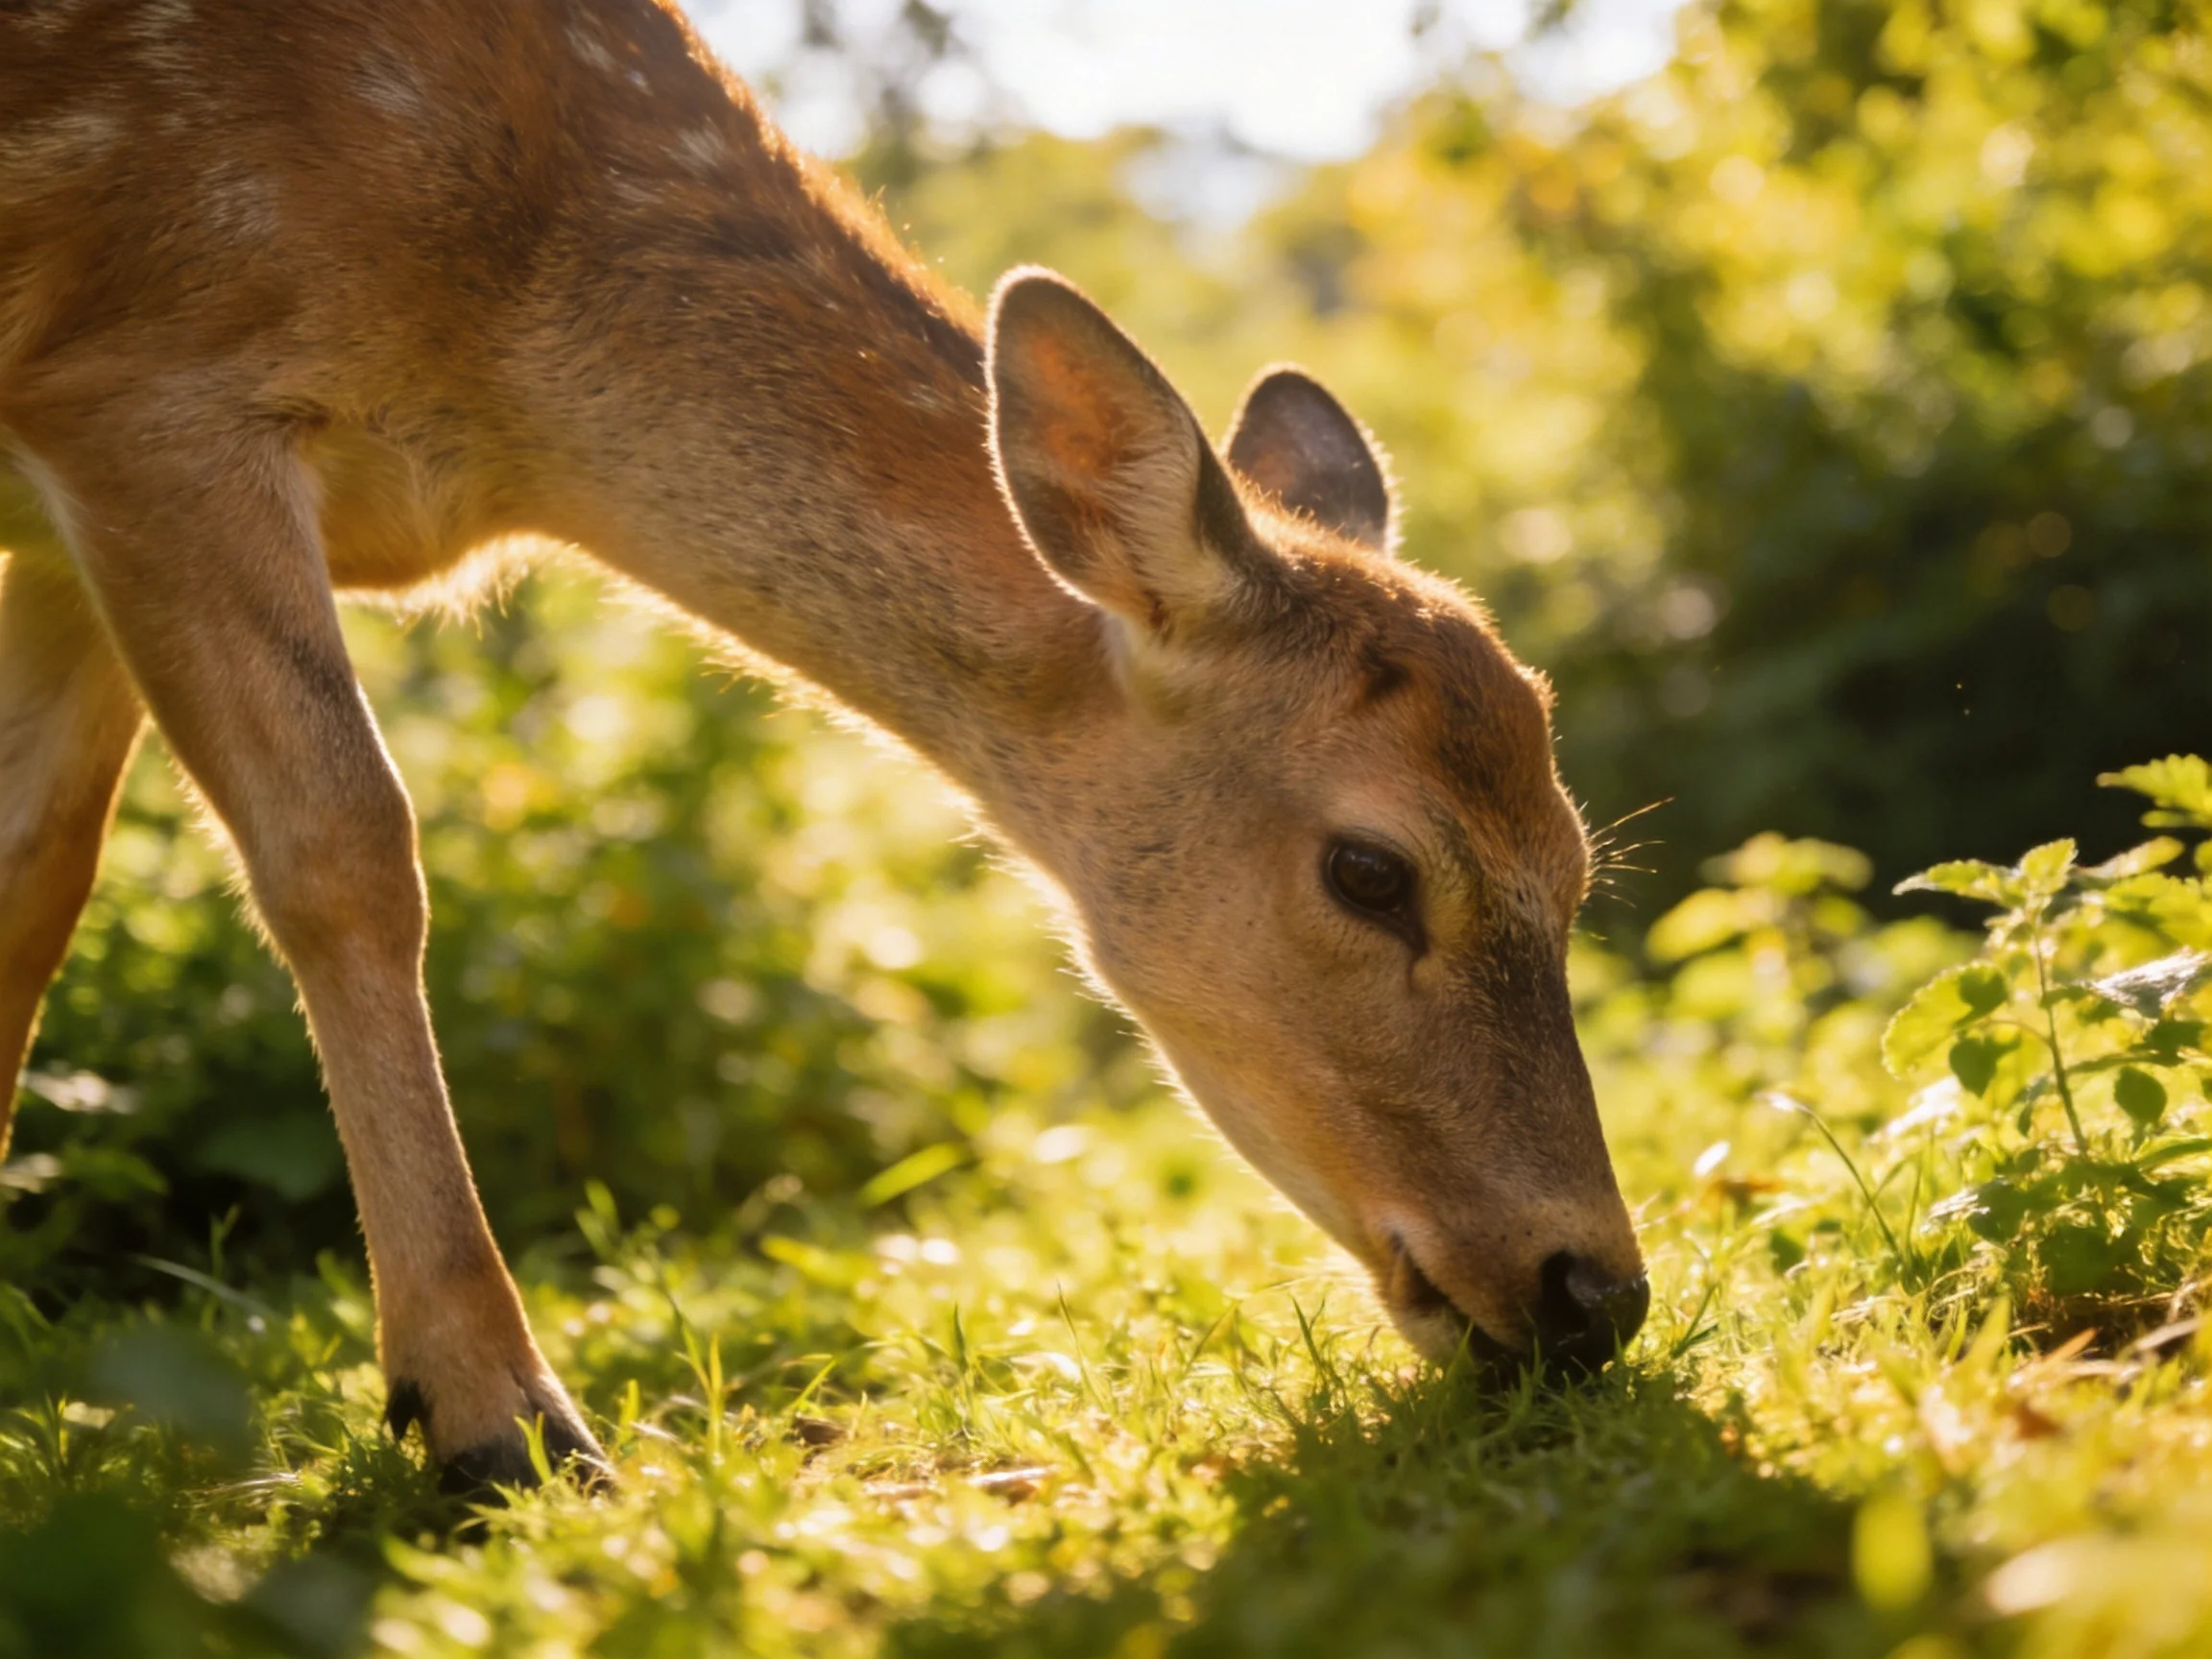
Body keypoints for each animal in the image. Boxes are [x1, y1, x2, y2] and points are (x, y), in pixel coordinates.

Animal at [0, 0, 1648, 1490]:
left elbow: (36, 876)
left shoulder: (70, 508)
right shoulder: (148, 392)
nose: (1595, 1294)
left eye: (1580, 867)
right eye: (1370, 869)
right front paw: (496, 1420)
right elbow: (347, 848)